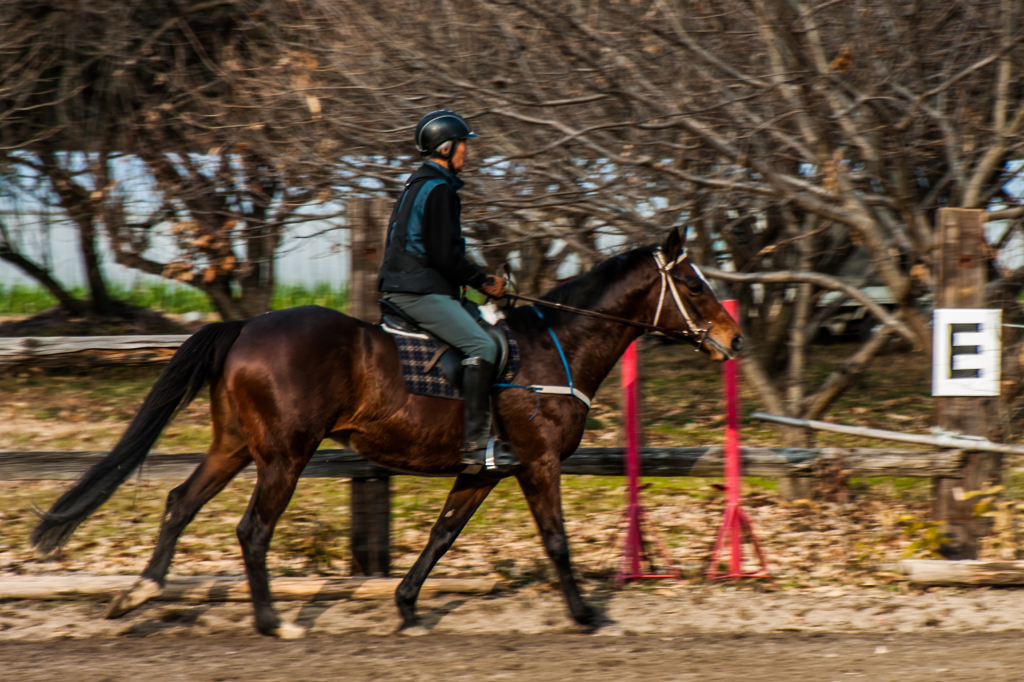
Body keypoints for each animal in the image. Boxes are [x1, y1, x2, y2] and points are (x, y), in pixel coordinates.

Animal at [28, 225, 741, 634]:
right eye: (694, 285)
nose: (734, 339)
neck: (552, 348)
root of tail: (248, 326)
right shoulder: (538, 463)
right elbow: (557, 542)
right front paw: (586, 614)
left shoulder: (483, 472)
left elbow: (442, 535)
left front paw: (405, 604)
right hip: (283, 456)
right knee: (252, 530)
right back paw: (271, 622)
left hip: (235, 446)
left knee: (180, 503)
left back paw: (137, 595)